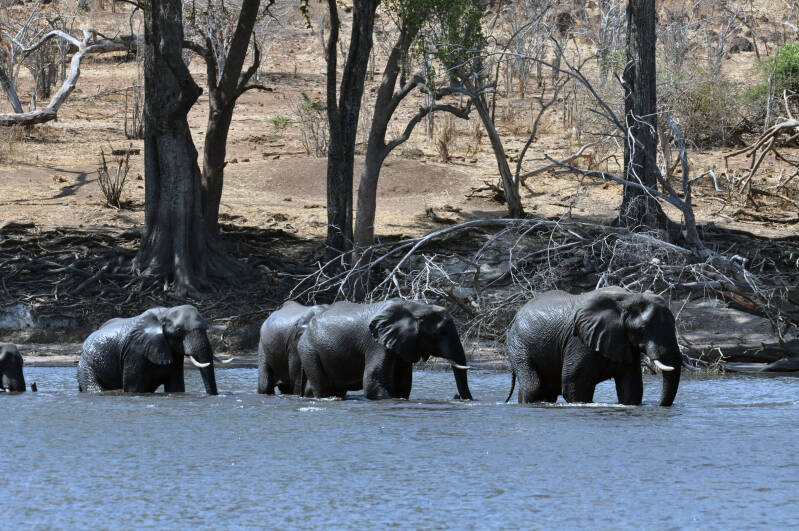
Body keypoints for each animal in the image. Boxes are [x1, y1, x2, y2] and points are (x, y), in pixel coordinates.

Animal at [77, 305, 219, 394]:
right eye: (179, 331)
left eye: (206, 328)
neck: (165, 313)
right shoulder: (135, 351)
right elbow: (133, 388)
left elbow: (176, 387)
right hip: (86, 364)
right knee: (92, 387)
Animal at [296, 299, 473, 400]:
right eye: (441, 332)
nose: (456, 396)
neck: (416, 307)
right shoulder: (375, 343)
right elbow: (372, 383)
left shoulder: (402, 344)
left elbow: (403, 385)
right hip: (309, 351)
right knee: (325, 389)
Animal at [505, 286, 681, 406]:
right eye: (642, 329)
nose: (659, 405)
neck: (628, 297)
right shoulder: (580, 340)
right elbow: (575, 386)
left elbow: (632, 388)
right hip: (518, 343)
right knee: (534, 387)